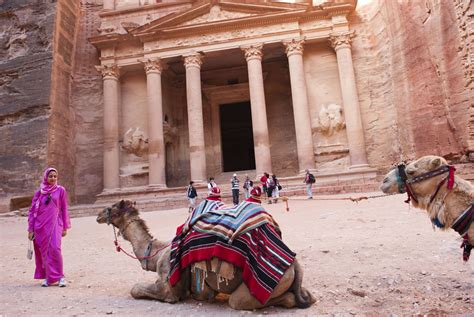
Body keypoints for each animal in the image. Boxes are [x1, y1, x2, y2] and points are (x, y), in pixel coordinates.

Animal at [96, 200, 314, 308]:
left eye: (111, 208)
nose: (98, 215)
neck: (156, 251)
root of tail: (294, 264)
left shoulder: (169, 286)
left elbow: (136, 289)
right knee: (303, 295)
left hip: (262, 287)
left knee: (247, 301)